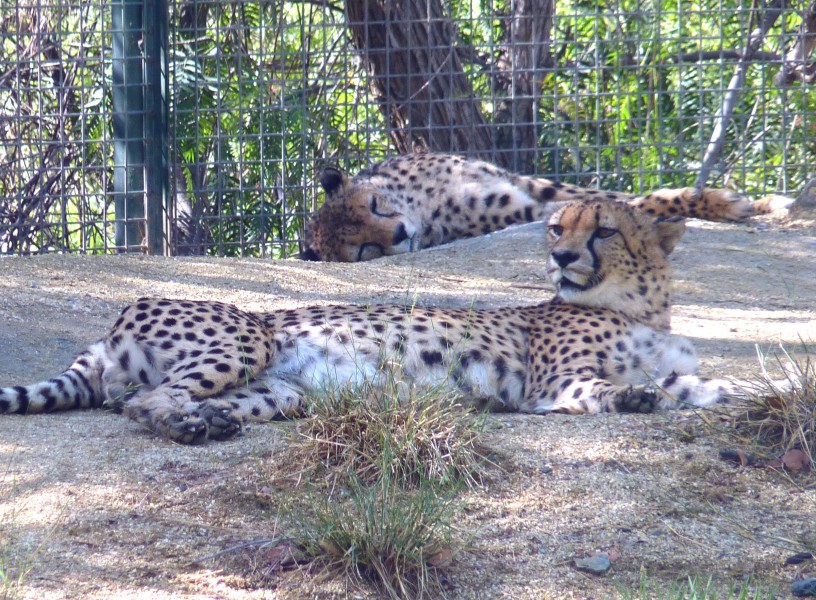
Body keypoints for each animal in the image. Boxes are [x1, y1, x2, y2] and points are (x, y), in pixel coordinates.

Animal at [0, 200, 739, 444]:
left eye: (603, 230)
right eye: (557, 227)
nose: (559, 256)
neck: (639, 306)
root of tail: (109, 330)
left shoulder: (682, 372)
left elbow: (713, 388)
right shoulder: (545, 385)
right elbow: (601, 388)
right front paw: (634, 397)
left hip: (279, 390)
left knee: (170, 398)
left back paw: (209, 420)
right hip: (248, 335)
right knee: (142, 402)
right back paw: (185, 425)